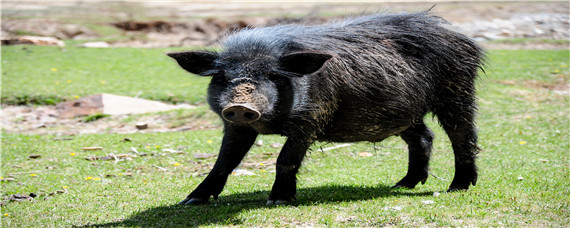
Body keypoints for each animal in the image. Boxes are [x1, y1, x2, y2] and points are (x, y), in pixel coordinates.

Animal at [168, 11, 484, 206]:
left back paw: (457, 187)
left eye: (272, 75)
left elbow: (285, 158)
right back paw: (401, 186)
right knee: (424, 137)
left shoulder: (312, 118)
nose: (239, 104)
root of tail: (463, 38)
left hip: (457, 92)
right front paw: (191, 201)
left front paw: (277, 200)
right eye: (222, 77)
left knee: (463, 136)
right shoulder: (236, 125)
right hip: (403, 113)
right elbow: (224, 161)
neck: (271, 124)